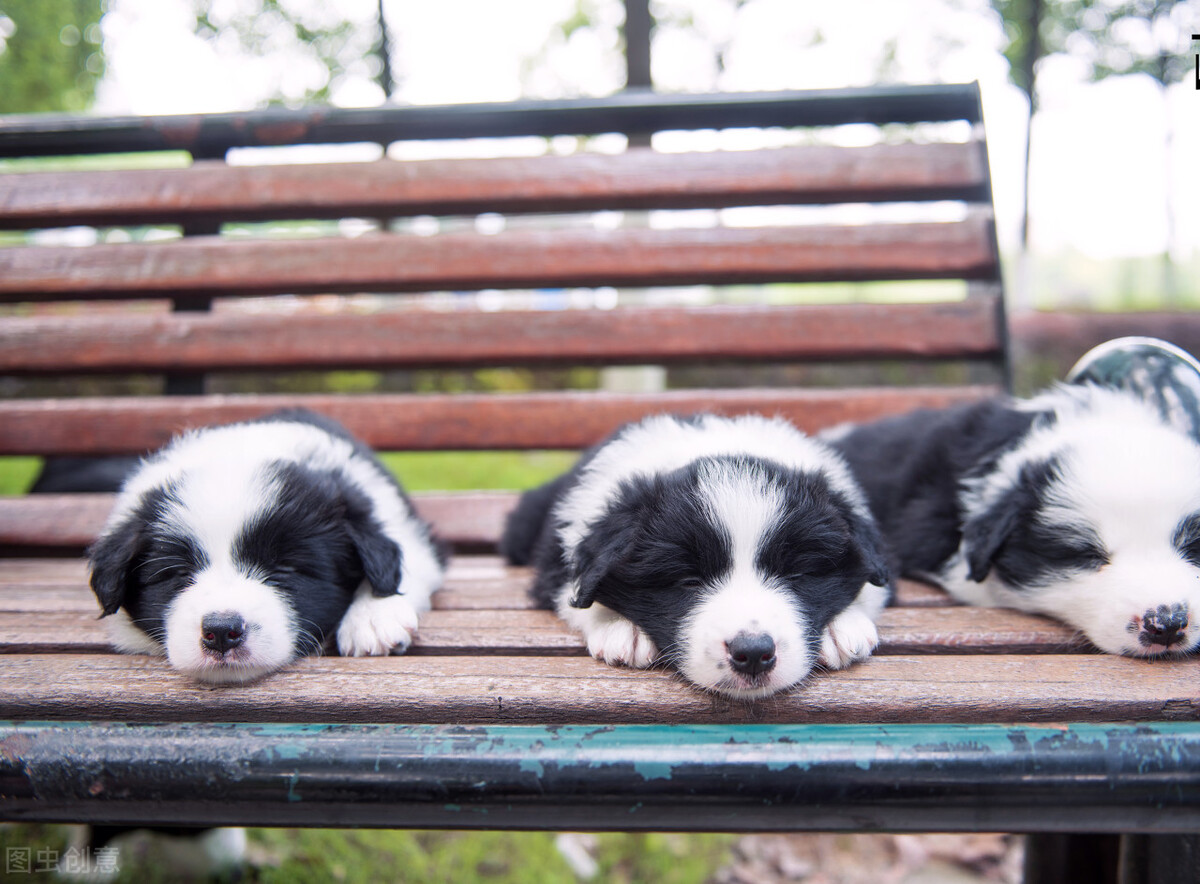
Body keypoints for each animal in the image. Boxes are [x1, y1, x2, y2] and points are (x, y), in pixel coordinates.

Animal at [499, 412, 892, 695]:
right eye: (687, 581)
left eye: (798, 575)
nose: (753, 654)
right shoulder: (558, 560)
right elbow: (575, 593)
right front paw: (622, 630)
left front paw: (843, 627)